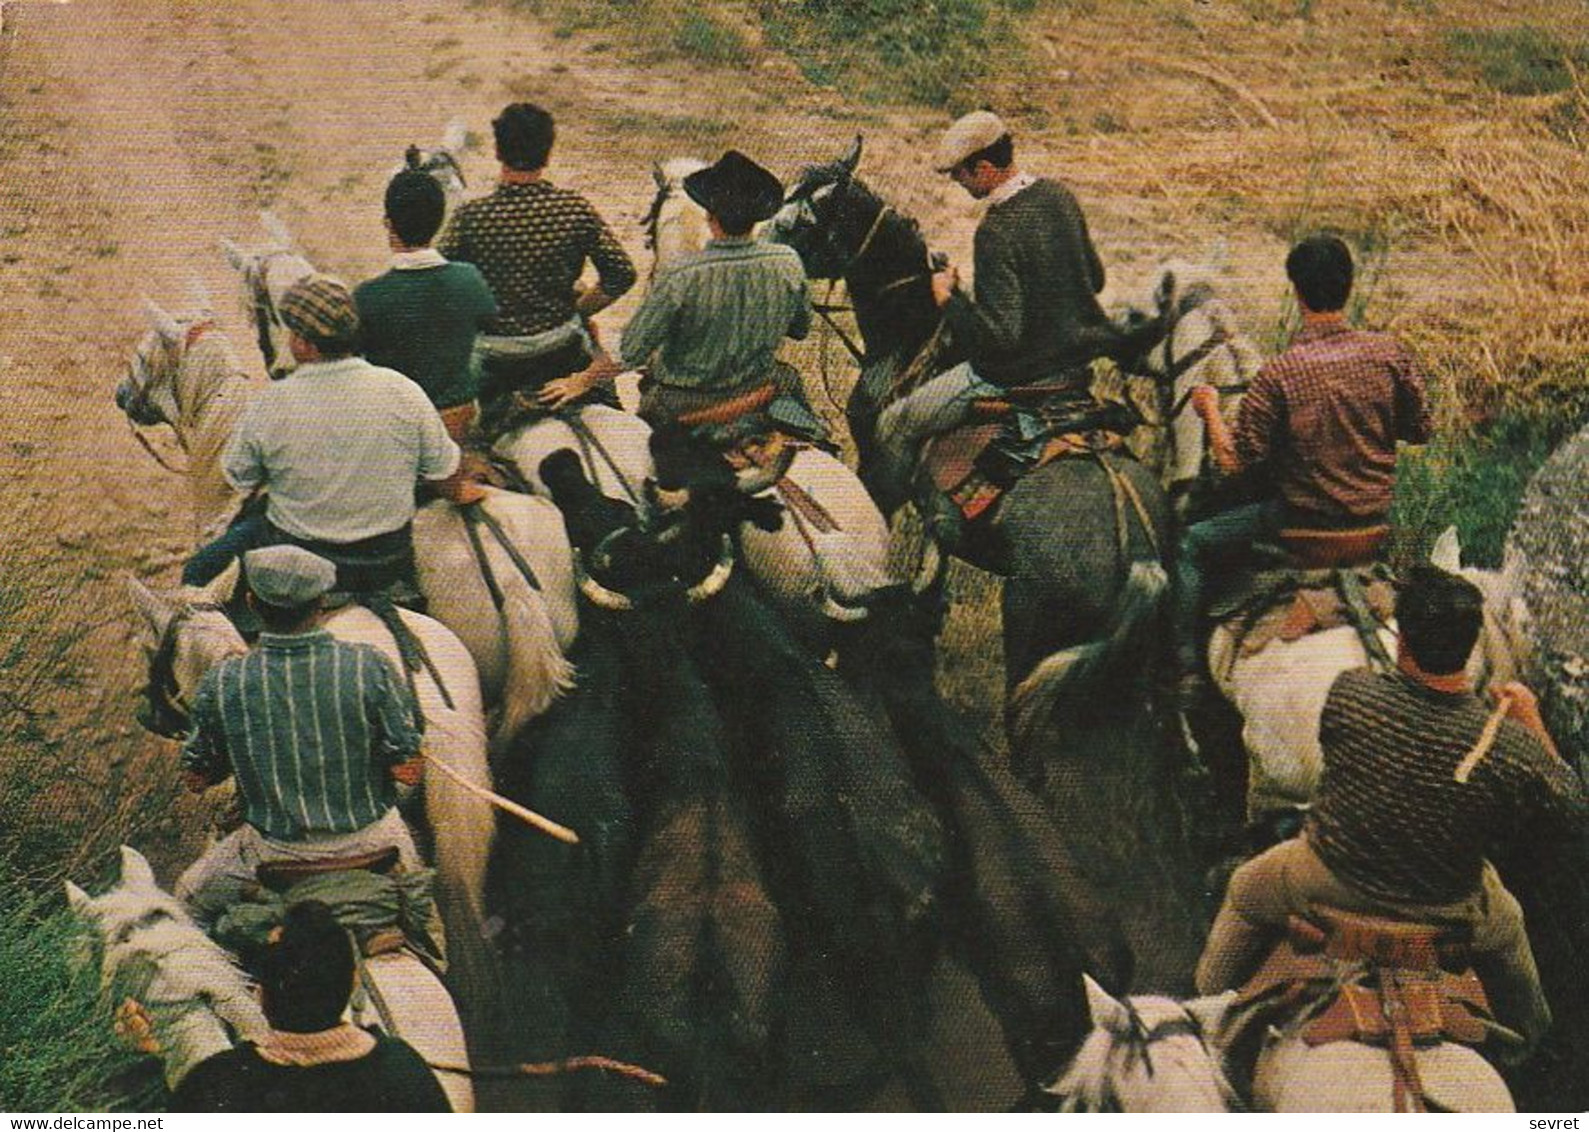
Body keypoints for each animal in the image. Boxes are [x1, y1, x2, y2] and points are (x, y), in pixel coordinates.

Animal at [769, 139, 1201, 992]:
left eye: (805, 218)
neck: (920, 335)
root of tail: (1135, 539)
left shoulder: (884, 471)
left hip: (1027, 618)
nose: (758, 246)